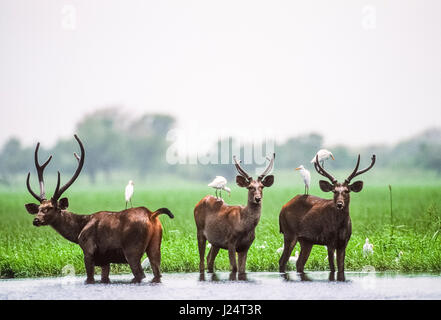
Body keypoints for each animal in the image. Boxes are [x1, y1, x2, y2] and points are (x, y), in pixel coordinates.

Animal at [24, 134, 174, 284]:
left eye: (51, 207)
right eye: (39, 208)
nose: (36, 220)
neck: (77, 231)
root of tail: (151, 215)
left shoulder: (88, 251)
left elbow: (89, 278)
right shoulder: (104, 261)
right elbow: (104, 277)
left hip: (132, 248)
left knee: (140, 274)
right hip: (155, 245)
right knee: (157, 272)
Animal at [276, 154, 372, 282]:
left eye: (347, 191)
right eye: (334, 191)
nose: (340, 204)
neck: (340, 226)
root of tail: (282, 208)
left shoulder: (344, 242)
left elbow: (341, 268)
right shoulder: (329, 241)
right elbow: (332, 268)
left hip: (306, 241)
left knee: (299, 263)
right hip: (289, 233)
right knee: (282, 261)